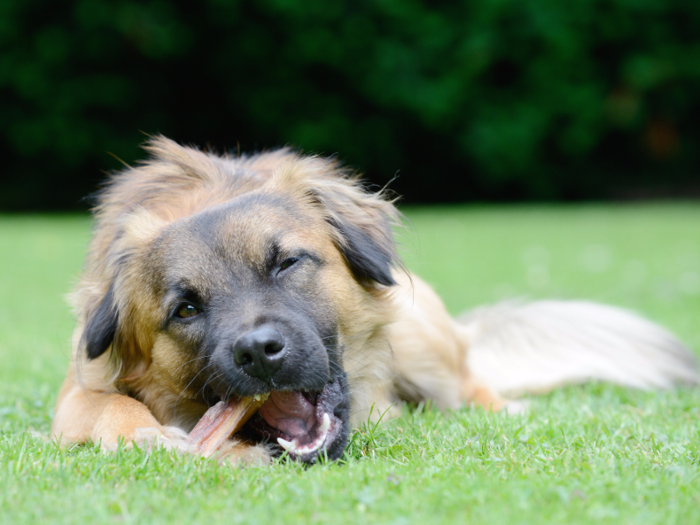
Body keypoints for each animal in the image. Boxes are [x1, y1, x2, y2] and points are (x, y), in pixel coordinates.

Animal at [50, 136, 700, 462]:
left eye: (286, 262)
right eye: (185, 309)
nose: (259, 352)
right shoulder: (77, 389)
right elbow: (107, 406)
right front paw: (142, 433)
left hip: (422, 335)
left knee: (471, 387)